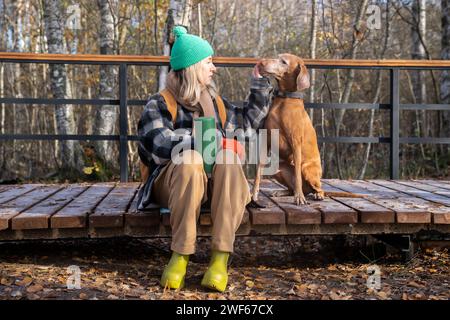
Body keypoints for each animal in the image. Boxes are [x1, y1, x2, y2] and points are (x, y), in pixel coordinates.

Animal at [253, 53, 324, 205]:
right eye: (277, 56)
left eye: (284, 62)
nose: (261, 63)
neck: (284, 100)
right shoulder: (266, 141)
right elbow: (258, 172)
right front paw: (253, 195)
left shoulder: (296, 143)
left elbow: (297, 174)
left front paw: (299, 198)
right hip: (278, 168)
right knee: (293, 188)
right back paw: (283, 192)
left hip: (307, 169)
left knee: (318, 188)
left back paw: (315, 195)